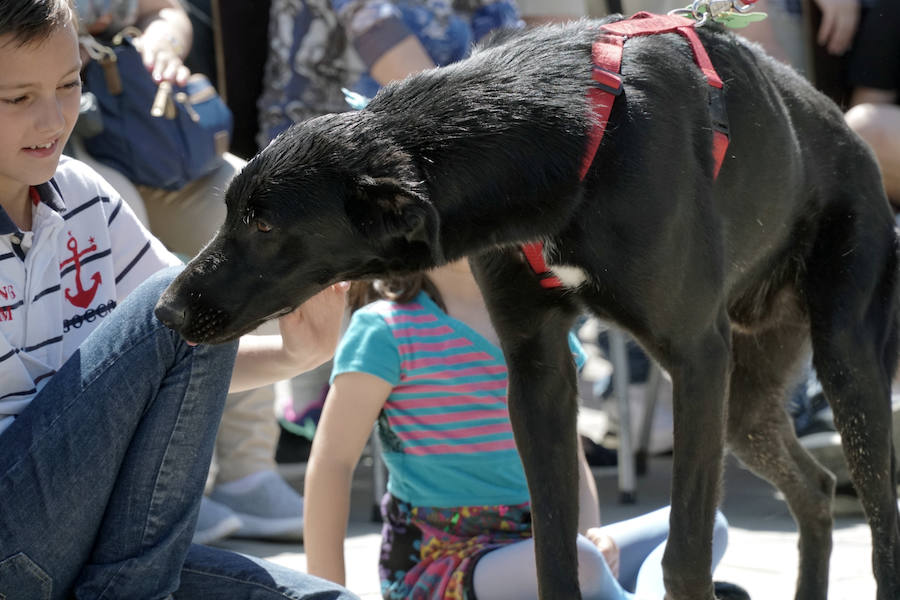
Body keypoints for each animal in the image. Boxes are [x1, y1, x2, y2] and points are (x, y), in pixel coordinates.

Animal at [156, 14, 900, 600]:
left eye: (263, 224)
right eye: (231, 211)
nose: (165, 311)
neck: (568, 140)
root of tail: (848, 133)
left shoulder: (694, 357)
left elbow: (684, 555)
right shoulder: (538, 369)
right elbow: (553, 549)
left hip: (841, 361)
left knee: (878, 515)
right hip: (743, 403)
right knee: (813, 489)